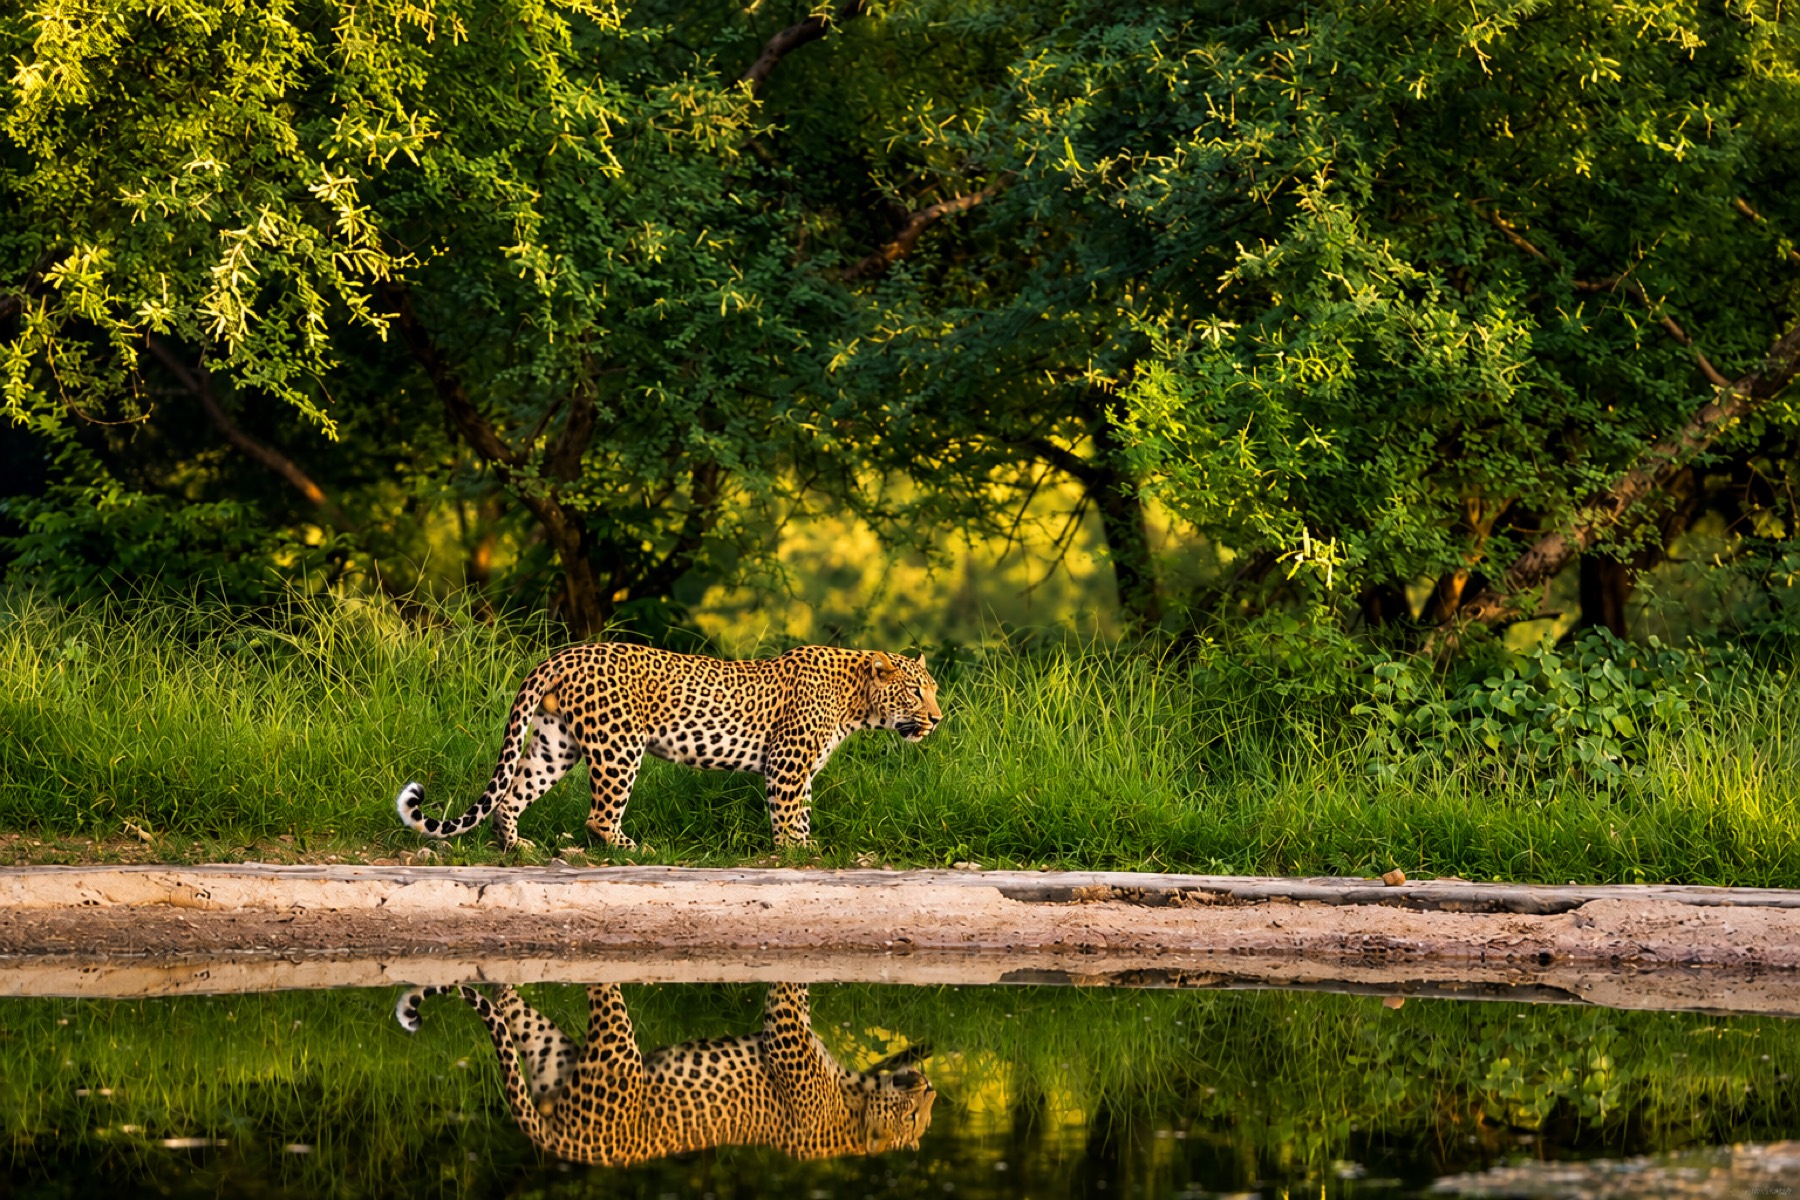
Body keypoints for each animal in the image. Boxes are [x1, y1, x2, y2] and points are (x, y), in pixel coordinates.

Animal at [395, 643, 941, 851]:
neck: (857, 702)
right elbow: (790, 818)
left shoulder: (799, 770)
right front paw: (801, 854)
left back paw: (516, 845)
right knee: (598, 816)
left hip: (556, 742)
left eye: (932, 689)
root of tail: (567, 651)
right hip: (618, 745)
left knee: (511, 794)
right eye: (916, 692)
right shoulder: (788, 765)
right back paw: (634, 848)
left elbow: (799, 813)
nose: (937, 718)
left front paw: (803, 849)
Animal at [395, 981, 936, 1165]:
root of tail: (573, 1148)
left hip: (556, 1055)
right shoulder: (784, 1031)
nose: (930, 1085)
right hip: (617, 1047)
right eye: (913, 1118)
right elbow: (791, 994)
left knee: (517, 1016)